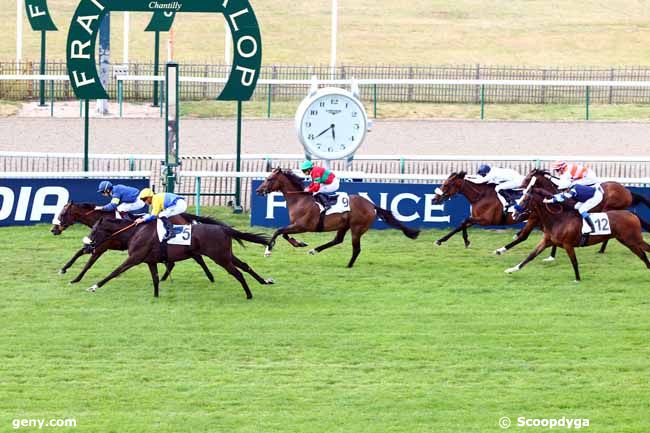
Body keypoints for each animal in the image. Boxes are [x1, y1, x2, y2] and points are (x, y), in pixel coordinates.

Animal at [50, 202, 215, 284]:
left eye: (62, 214)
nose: (54, 230)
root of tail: (183, 216)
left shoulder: (103, 246)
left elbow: (88, 262)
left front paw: (75, 279)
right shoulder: (96, 243)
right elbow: (80, 252)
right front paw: (63, 269)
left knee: (197, 258)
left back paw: (210, 277)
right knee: (173, 262)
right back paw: (162, 278)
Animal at [85, 215, 272, 296]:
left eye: (94, 231)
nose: (87, 246)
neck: (135, 232)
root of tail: (224, 229)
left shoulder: (135, 258)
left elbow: (114, 272)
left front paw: (94, 286)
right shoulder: (150, 261)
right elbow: (155, 279)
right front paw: (156, 296)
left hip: (220, 257)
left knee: (238, 273)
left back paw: (249, 295)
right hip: (227, 255)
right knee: (245, 266)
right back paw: (265, 281)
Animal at [251, 168, 418, 266]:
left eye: (269, 179)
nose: (258, 191)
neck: (300, 199)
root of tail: (371, 205)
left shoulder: (302, 226)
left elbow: (278, 231)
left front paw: (268, 251)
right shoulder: (295, 225)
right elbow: (284, 234)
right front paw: (299, 243)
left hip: (357, 228)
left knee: (356, 248)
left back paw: (349, 265)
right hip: (344, 226)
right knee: (337, 240)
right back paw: (314, 250)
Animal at [506, 185, 648, 280]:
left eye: (524, 200)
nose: (514, 214)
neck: (558, 219)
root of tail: (632, 214)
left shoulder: (568, 245)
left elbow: (574, 261)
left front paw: (577, 279)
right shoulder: (547, 241)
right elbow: (530, 256)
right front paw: (511, 269)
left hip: (632, 239)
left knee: (644, 252)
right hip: (627, 241)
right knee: (642, 254)